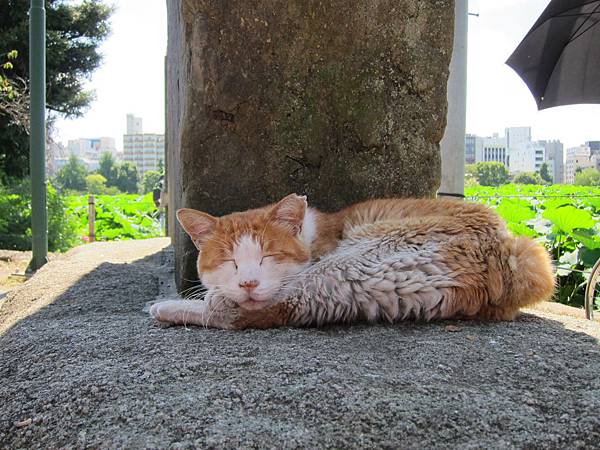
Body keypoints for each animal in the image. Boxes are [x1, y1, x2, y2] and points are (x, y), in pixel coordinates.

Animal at [149, 194, 552, 330]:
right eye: (229, 262)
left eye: (269, 257)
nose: (248, 283)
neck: (312, 232)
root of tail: (505, 254)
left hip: (356, 258)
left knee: (248, 314)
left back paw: (167, 308)